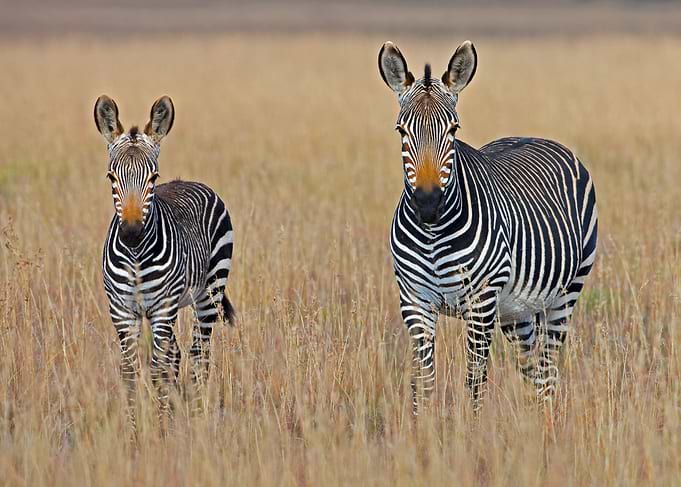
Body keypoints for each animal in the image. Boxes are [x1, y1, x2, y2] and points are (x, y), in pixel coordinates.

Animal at [94, 95, 235, 429]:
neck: (135, 256)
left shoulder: (162, 309)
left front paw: (160, 432)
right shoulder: (122, 311)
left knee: (199, 355)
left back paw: (197, 418)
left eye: (153, 177)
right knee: (178, 356)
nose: (132, 233)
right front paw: (134, 432)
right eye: (111, 177)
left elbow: (158, 371)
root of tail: (189, 181)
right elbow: (130, 373)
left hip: (209, 294)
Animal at [378, 41, 598, 413]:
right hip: (516, 310)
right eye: (401, 131)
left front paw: (471, 428)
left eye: (453, 129)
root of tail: (534, 136)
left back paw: (547, 423)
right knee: (531, 369)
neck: (433, 235)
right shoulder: (414, 301)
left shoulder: (481, 302)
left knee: (548, 370)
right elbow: (423, 383)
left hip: (565, 294)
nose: (427, 203)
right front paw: (420, 429)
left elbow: (474, 382)